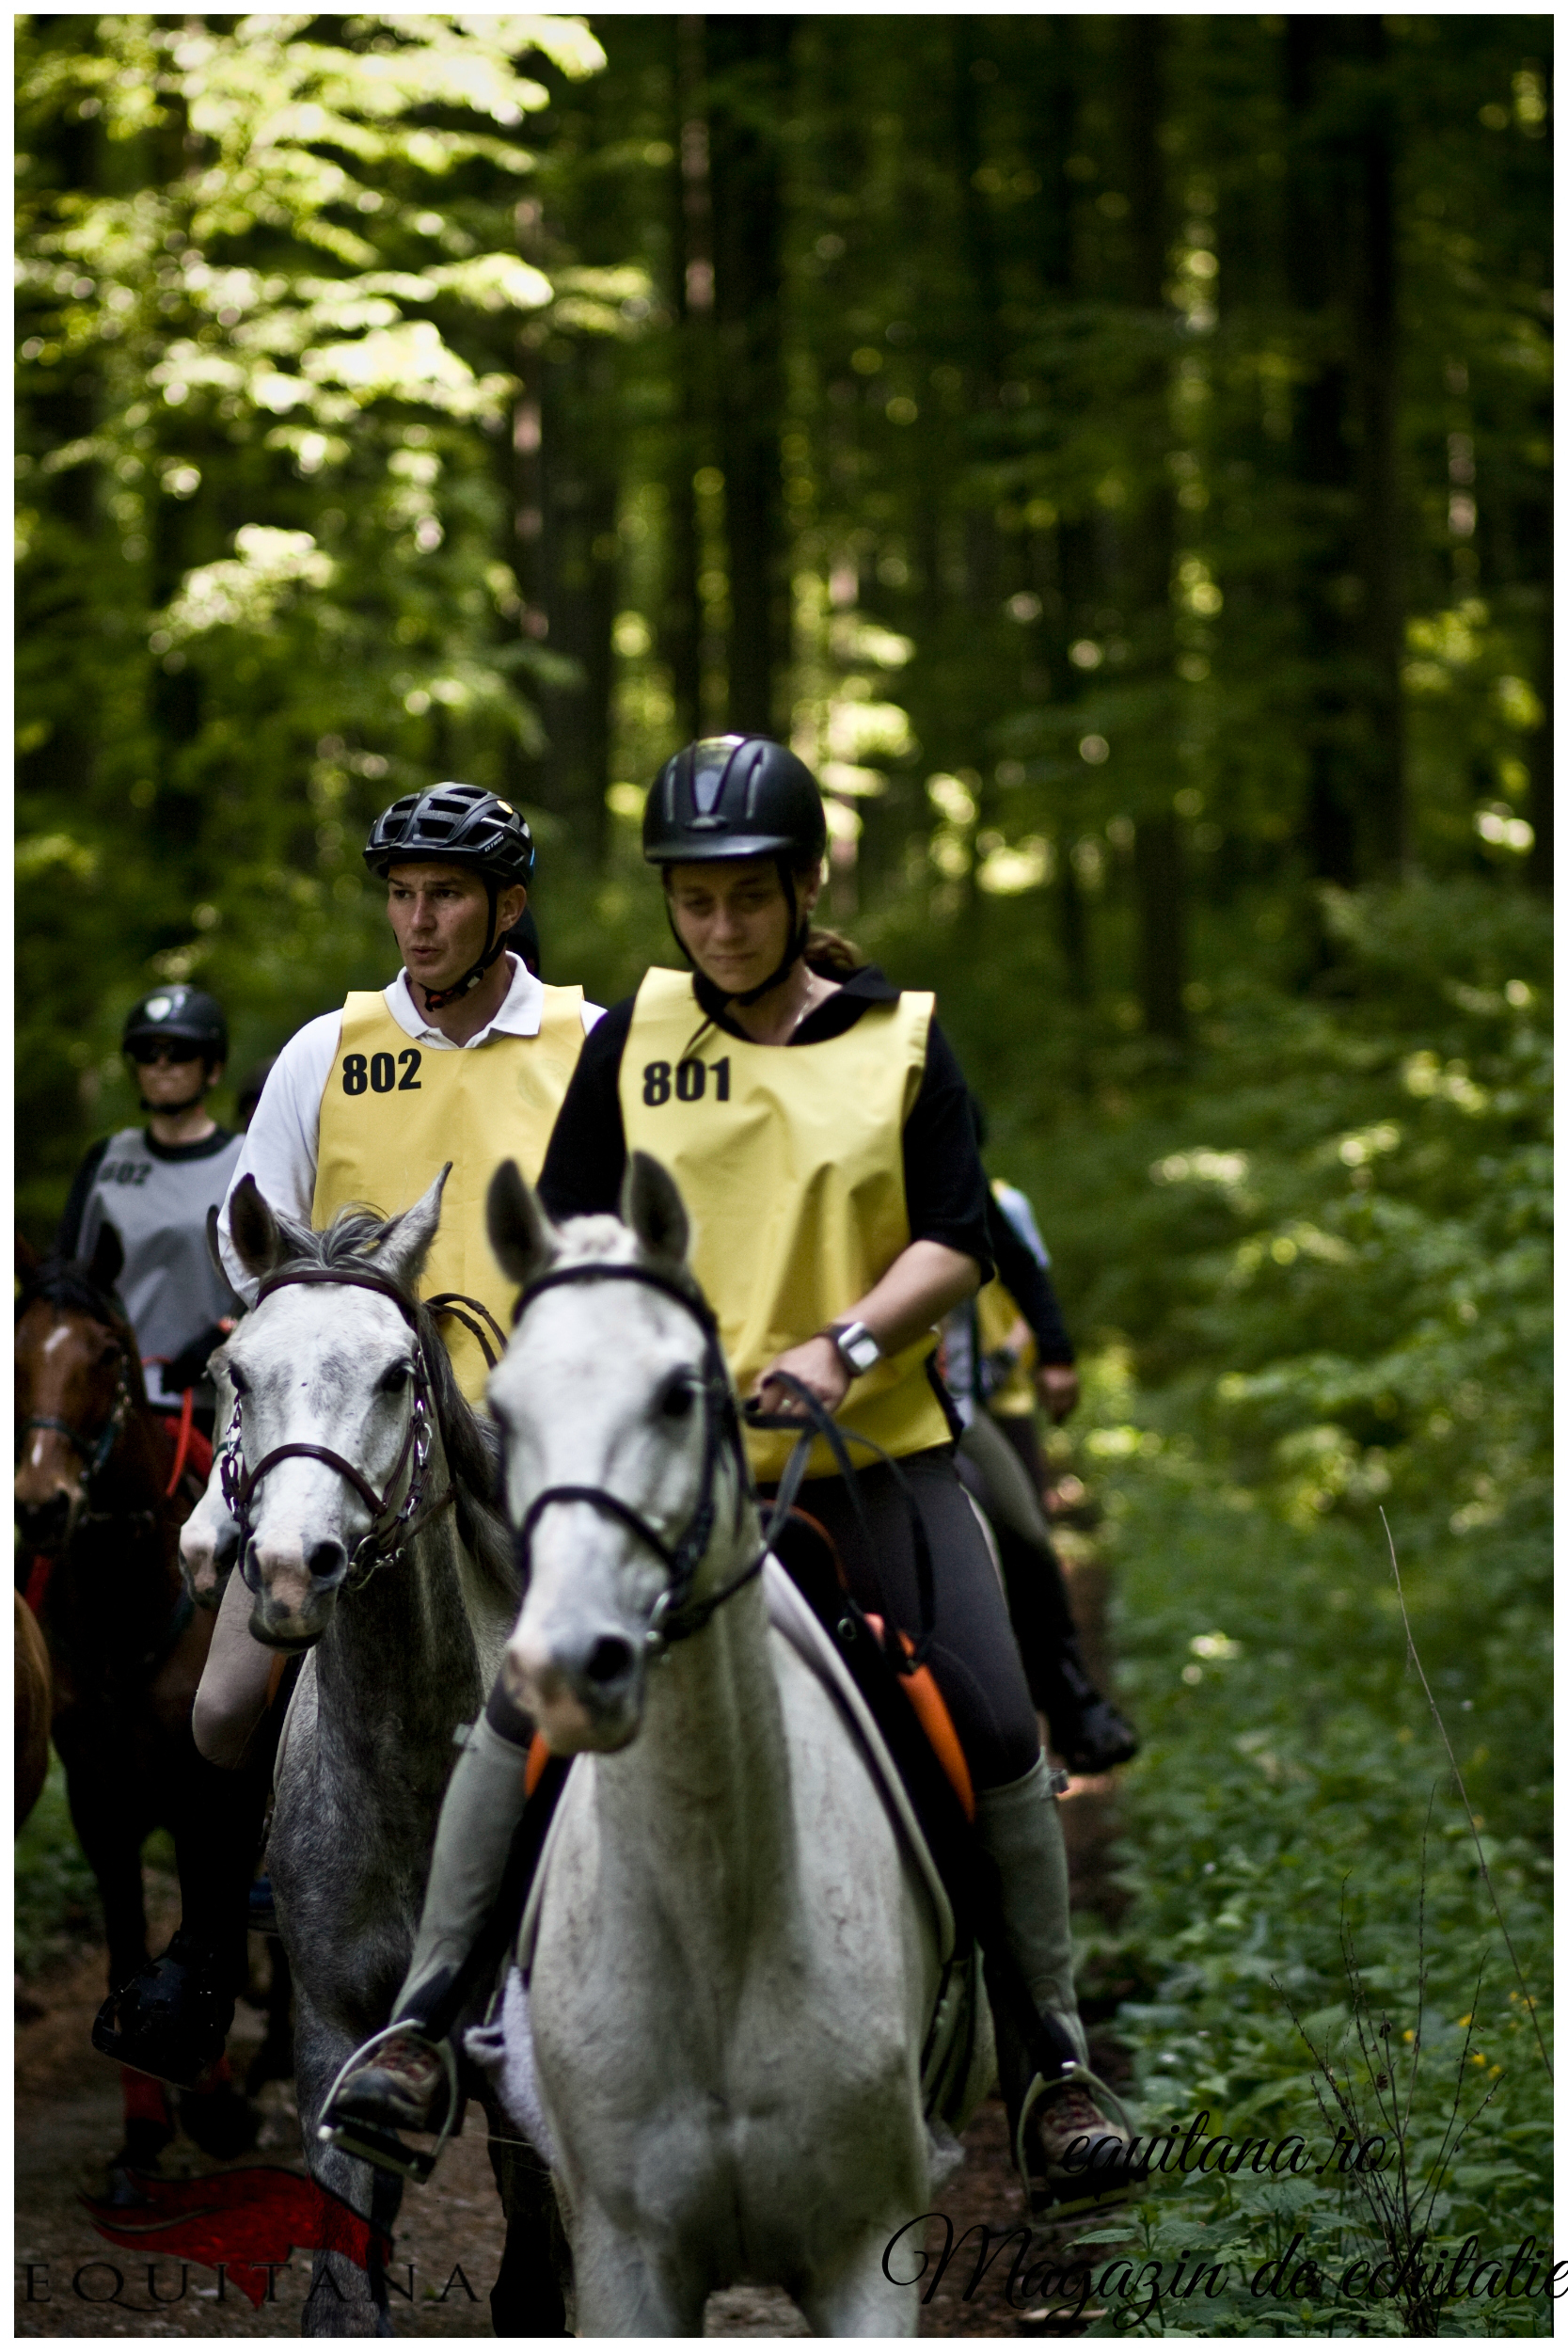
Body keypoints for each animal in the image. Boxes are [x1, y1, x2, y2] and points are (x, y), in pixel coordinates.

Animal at [15, 1232, 271, 2183]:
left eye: (106, 1357)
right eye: (18, 1356)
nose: (41, 1505)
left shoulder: (207, 1791)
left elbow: (208, 1911)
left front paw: (218, 2102)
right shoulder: (99, 1799)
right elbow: (128, 1940)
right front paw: (143, 2130)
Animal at [491, 1152, 982, 2333]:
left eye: (678, 1393)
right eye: (501, 1412)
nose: (567, 1666)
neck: (717, 1900)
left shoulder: (868, 2255)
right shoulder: (623, 2262)